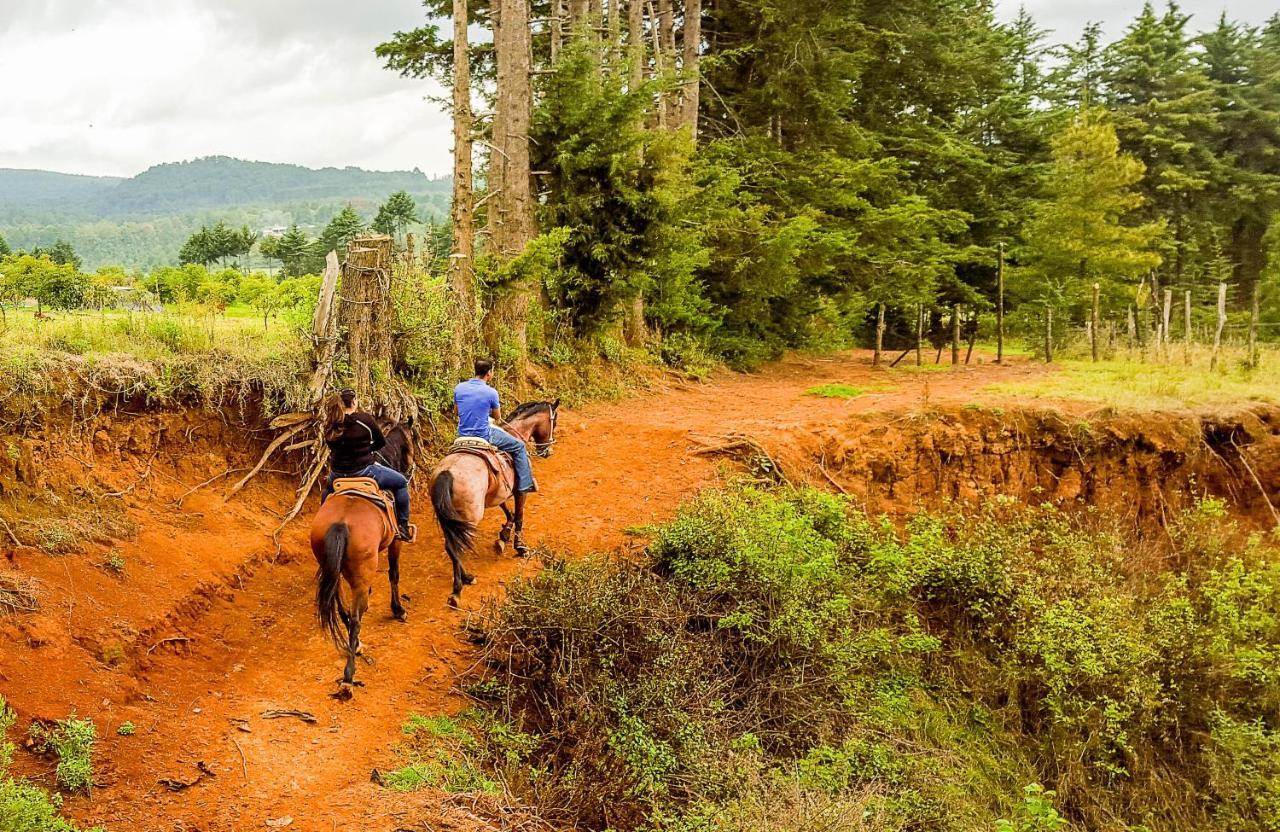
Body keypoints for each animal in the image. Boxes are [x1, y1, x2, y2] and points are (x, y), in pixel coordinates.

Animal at [427, 399, 558, 606]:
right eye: (555, 422)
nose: (547, 451)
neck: (516, 433)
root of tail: (447, 473)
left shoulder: (500, 492)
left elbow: (508, 512)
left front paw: (503, 537)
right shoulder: (520, 491)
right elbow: (519, 516)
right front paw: (520, 547)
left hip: (448, 518)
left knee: (451, 546)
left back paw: (466, 578)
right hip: (469, 517)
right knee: (457, 546)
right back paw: (457, 590)